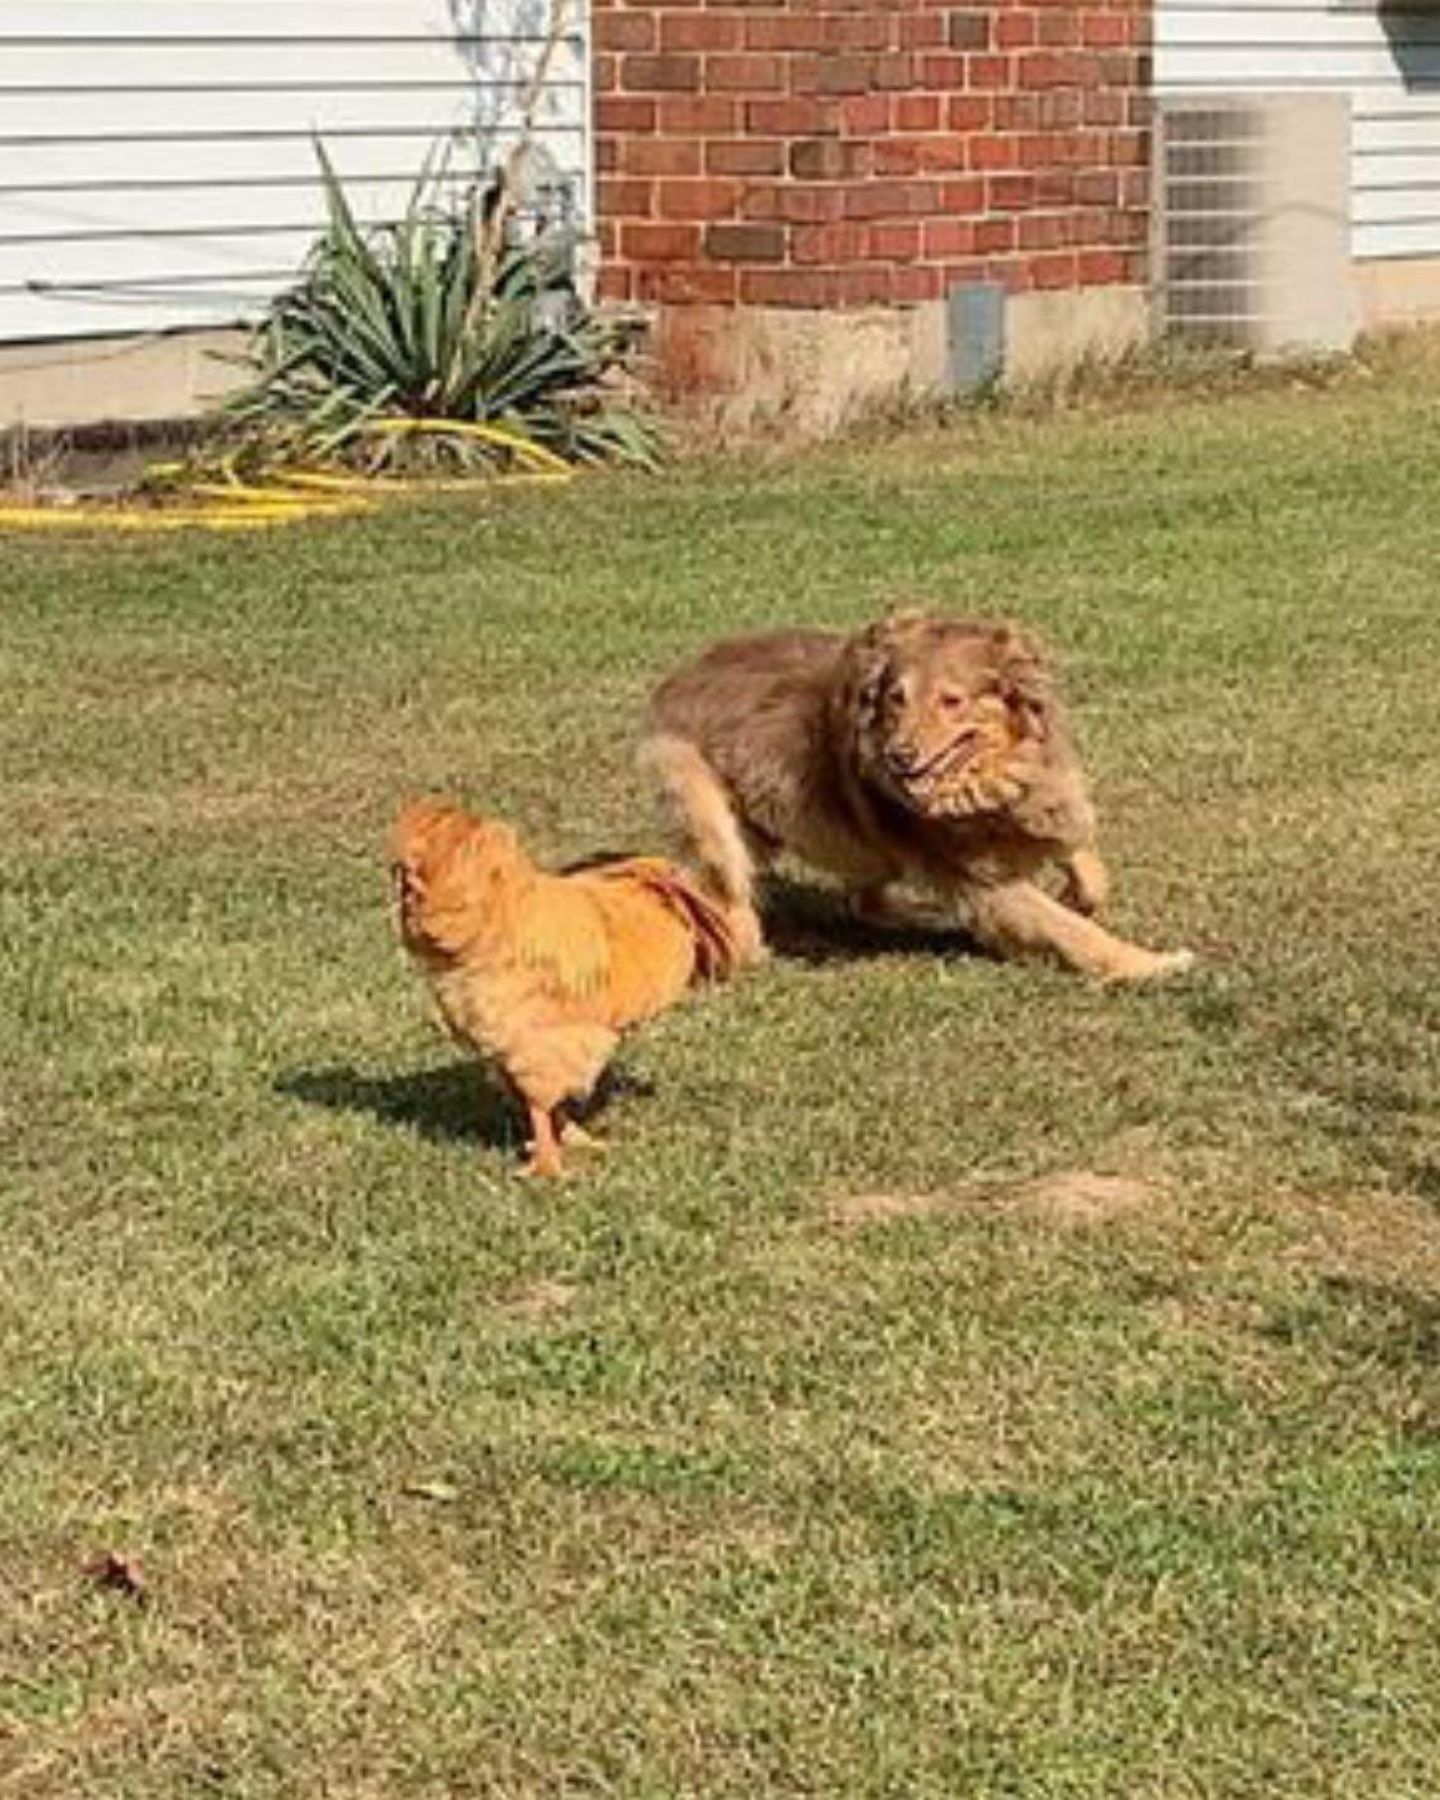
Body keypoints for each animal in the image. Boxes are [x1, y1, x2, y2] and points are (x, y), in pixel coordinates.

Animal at [640, 615, 1195, 986]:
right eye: (896, 699)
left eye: (951, 701)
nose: (899, 755)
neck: (984, 780)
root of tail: (675, 680)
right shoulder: (981, 877)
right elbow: (1069, 930)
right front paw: (1150, 963)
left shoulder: (1043, 800)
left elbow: (1085, 862)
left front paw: (1081, 893)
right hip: (714, 820)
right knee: (729, 891)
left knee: (863, 899)